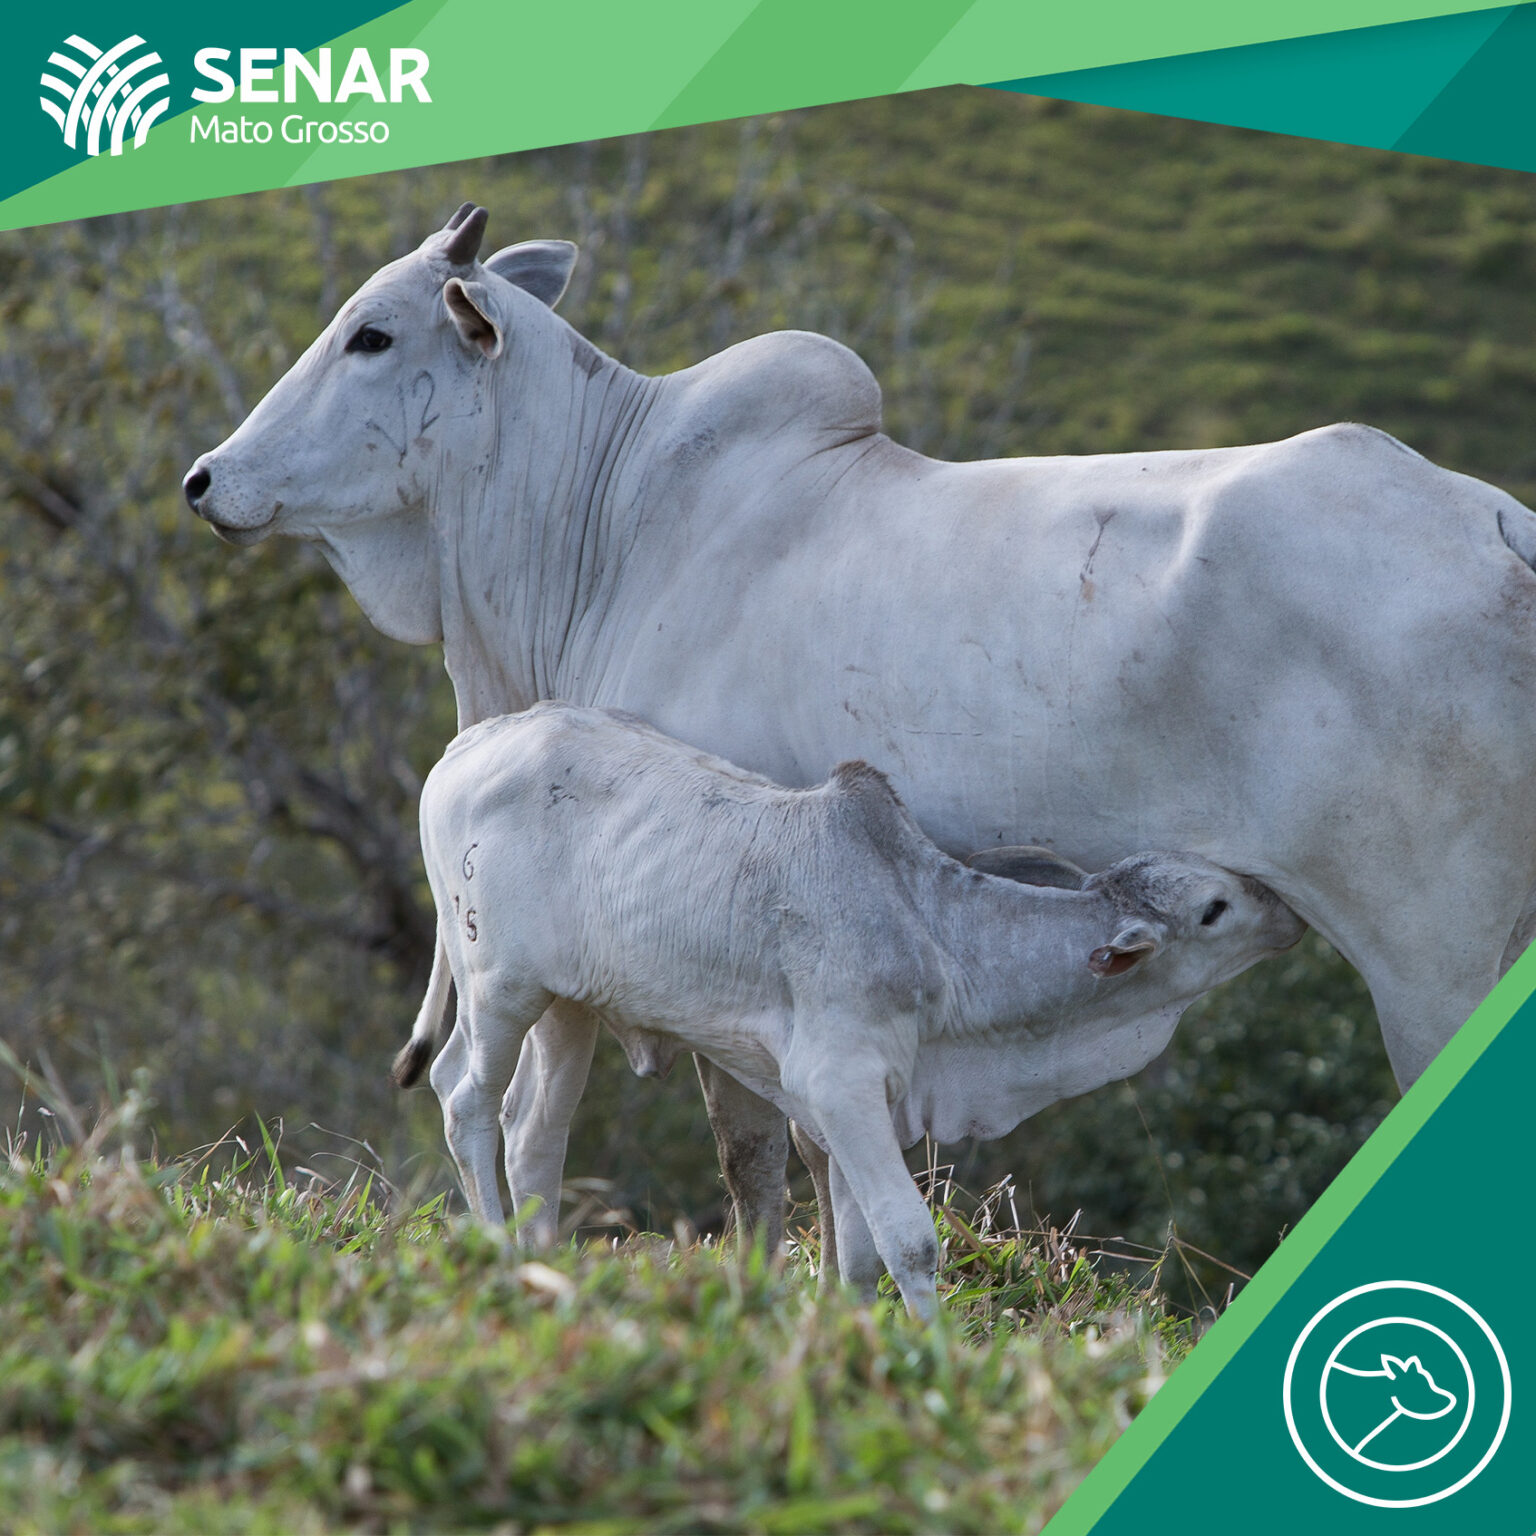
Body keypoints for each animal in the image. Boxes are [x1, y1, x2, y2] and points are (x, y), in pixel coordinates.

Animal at [185, 202, 1536, 1252]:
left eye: (373, 333)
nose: (206, 479)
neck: (602, 521)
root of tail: (1496, 521)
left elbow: (756, 1156)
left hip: (1430, 963)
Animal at [394, 701, 1304, 1317]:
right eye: (1216, 907)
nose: (1289, 910)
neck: (934, 937)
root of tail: (470, 742)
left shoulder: (871, 1102)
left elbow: (861, 1253)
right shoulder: (841, 1085)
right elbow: (909, 1240)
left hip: (567, 1008)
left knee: (533, 1129)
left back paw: (541, 1259)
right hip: (498, 987)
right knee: (463, 1098)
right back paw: (497, 1251)